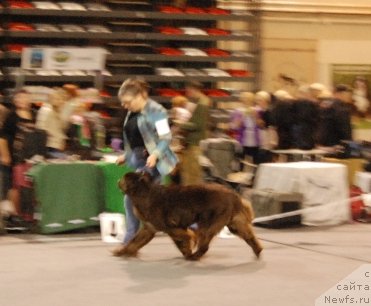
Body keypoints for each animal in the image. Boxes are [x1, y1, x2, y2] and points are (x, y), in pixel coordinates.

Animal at [115, 172, 264, 260]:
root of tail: (234, 195)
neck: (144, 194)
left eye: (124, 179)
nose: (117, 180)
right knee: (250, 237)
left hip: (208, 224)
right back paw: (258, 251)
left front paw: (189, 247)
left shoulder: (170, 227)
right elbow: (134, 242)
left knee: (204, 246)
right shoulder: (149, 229)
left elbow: (185, 238)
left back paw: (194, 256)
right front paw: (122, 252)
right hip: (235, 224)